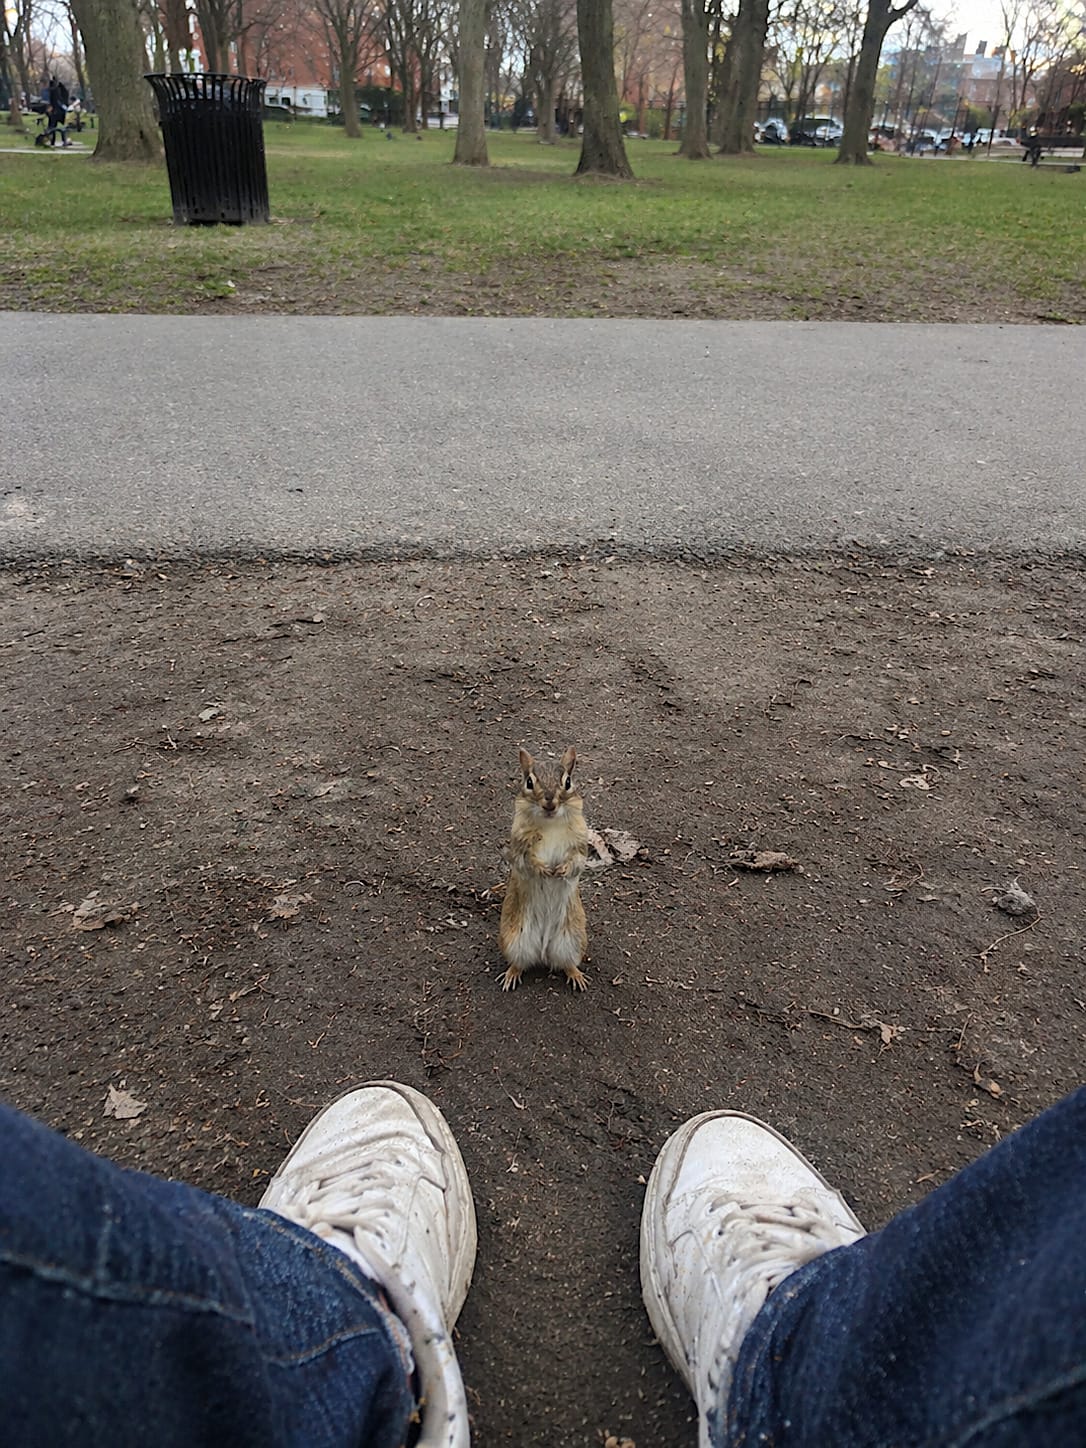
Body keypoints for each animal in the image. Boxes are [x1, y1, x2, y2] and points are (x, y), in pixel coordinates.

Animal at [498, 746, 589, 991]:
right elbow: (527, 862)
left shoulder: (580, 845)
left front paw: (562, 870)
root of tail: (543, 950)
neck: (551, 823)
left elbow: (576, 862)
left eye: (568, 782)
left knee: (565, 963)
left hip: (573, 941)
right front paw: (543, 870)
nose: (550, 802)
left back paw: (576, 975)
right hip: (514, 940)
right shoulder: (519, 847)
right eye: (529, 782)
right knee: (520, 962)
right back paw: (511, 974)